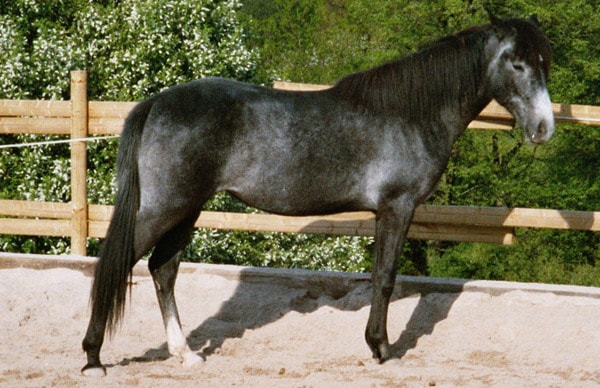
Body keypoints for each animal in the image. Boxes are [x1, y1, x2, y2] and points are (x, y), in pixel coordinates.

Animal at [79, 14, 552, 376]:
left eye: (544, 63)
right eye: (515, 63)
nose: (544, 128)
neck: (411, 113)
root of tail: (156, 103)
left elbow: (379, 277)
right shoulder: (397, 207)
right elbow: (385, 278)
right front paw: (382, 349)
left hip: (187, 210)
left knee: (163, 269)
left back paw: (185, 354)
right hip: (165, 208)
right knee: (116, 264)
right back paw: (93, 358)